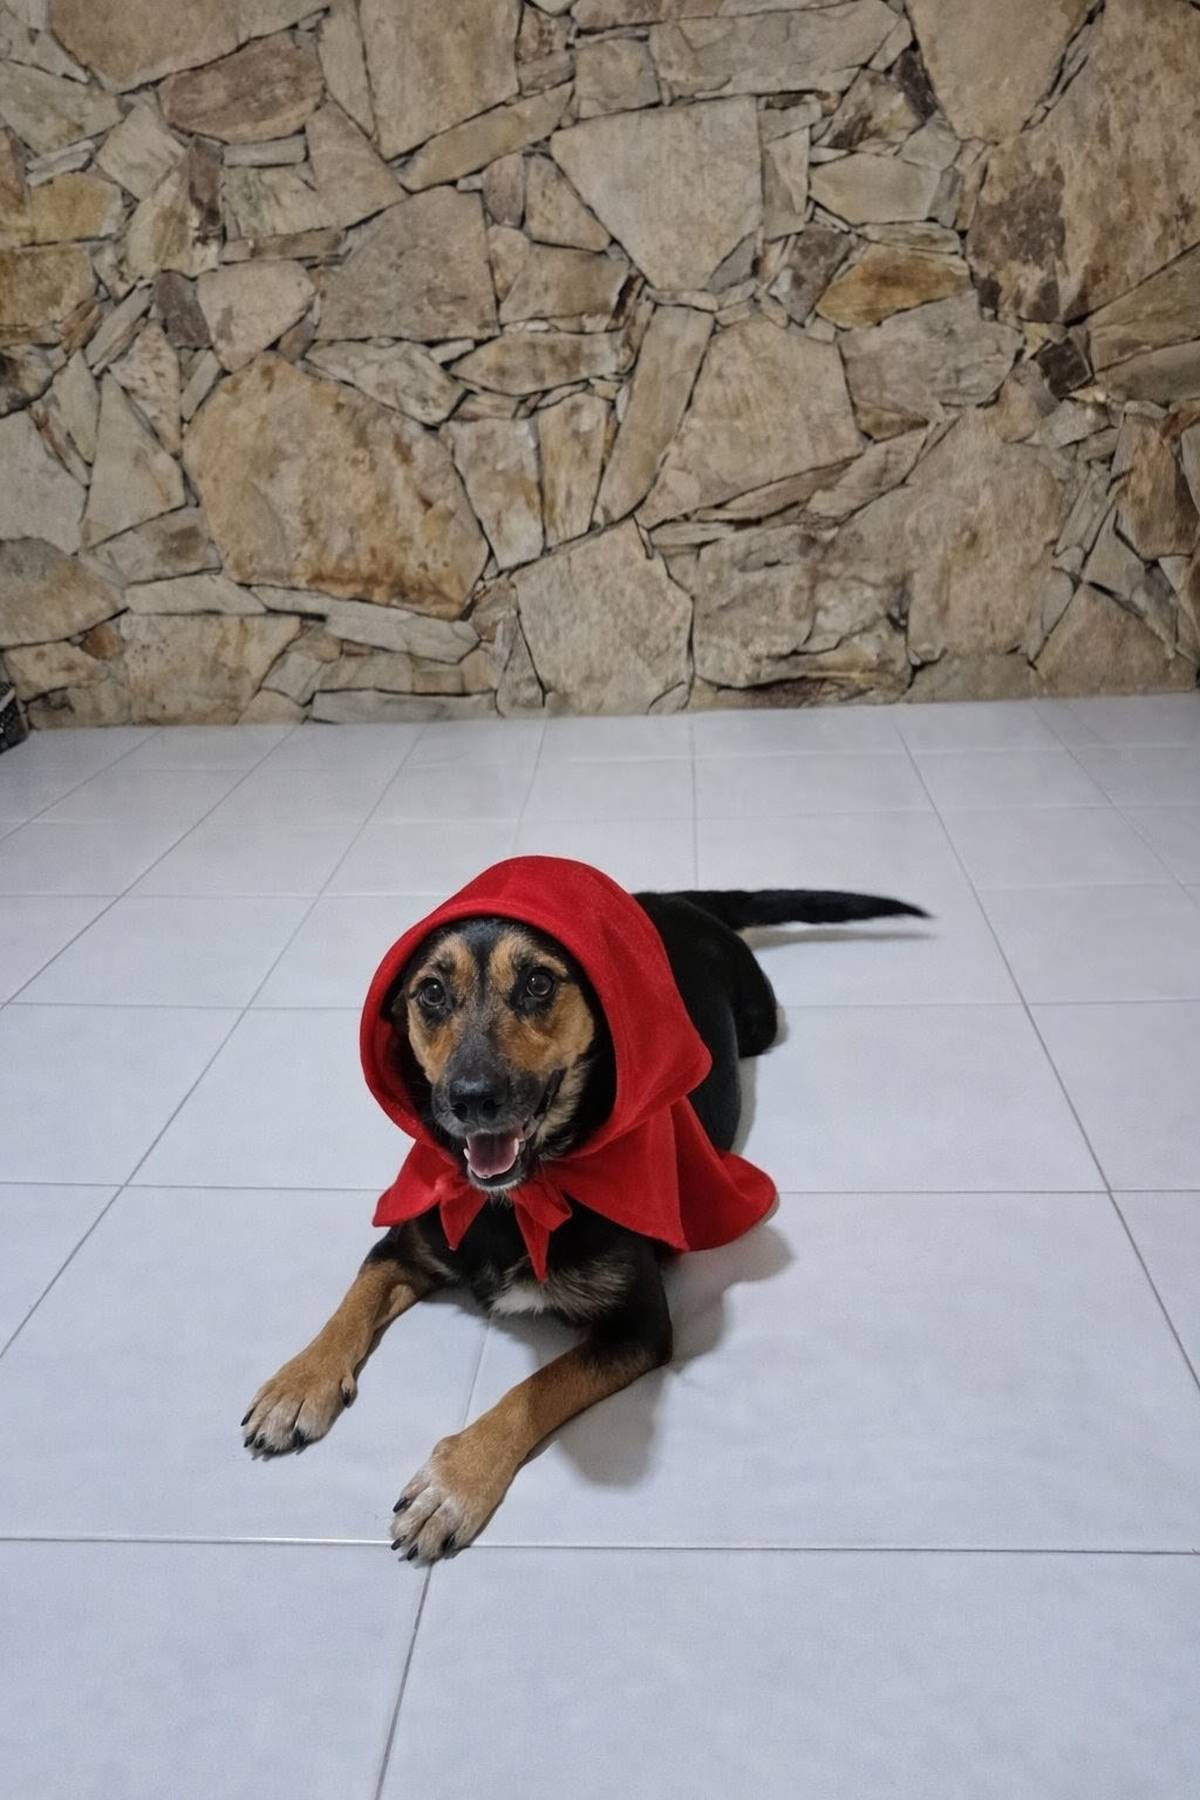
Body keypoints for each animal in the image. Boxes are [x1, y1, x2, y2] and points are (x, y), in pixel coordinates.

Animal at [242, 876, 926, 1562]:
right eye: (431, 992)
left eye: (539, 983)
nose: (471, 1098)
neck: (519, 1198)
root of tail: (665, 896)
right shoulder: (409, 1240)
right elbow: (351, 1302)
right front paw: (296, 1386)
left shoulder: (638, 1327)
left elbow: (536, 1387)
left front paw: (454, 1482)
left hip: (762, 1019)